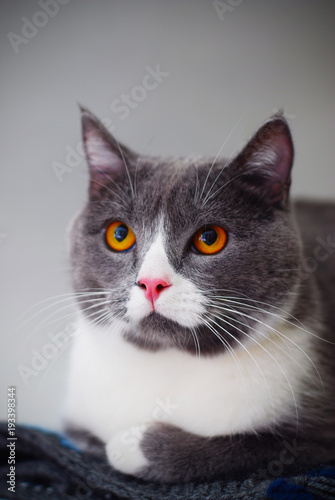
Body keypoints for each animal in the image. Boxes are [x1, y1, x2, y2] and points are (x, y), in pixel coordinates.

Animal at [63, 106, 335, 484]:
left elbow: (249, 447)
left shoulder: (319, 439)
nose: (151, 282)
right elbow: (83, 437)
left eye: (210, 238)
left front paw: (131, 446)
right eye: (119, 234)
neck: (170, 361)